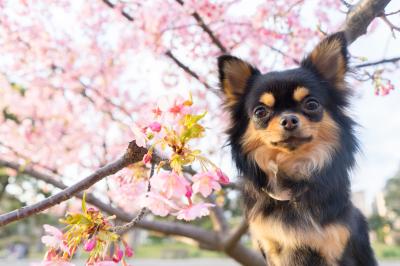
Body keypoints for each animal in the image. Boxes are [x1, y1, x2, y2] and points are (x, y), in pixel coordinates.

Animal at [219, 32, 378, 264]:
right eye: (260, 112)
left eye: (311, 104)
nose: (289, 120)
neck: (292, 179)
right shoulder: (271, 249)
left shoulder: (338, 250)